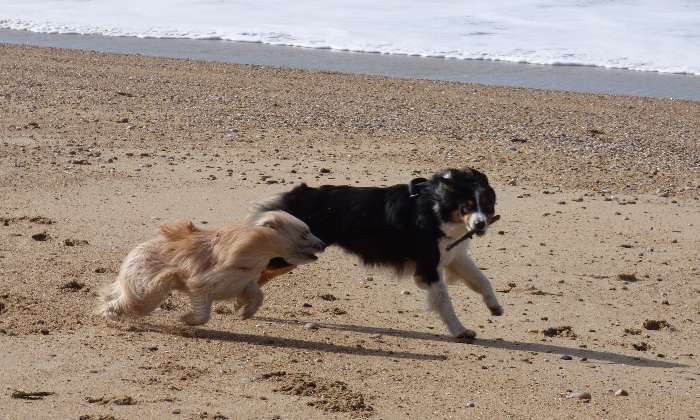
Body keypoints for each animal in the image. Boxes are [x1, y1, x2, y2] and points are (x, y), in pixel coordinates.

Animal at [98, 212, 326, 326]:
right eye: (305, 233)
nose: (324, 244)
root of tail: (133, 253)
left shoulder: (246, 281)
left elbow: (257, 295)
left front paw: (245, 311)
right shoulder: (201, 284)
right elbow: (204, 312)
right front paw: (187, 319)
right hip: (147, 289)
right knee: (128, 302)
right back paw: (109, 315)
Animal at [256, 167, 504, 338]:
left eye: (487, 205)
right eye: (467, 206)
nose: (480, 225)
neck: (436, 208)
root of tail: (297, 194)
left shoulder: (454, 255)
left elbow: (481, 279)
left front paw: (495, 306)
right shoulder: (428, 266)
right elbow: (444, 301)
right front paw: (460, 331)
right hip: (286, 255)